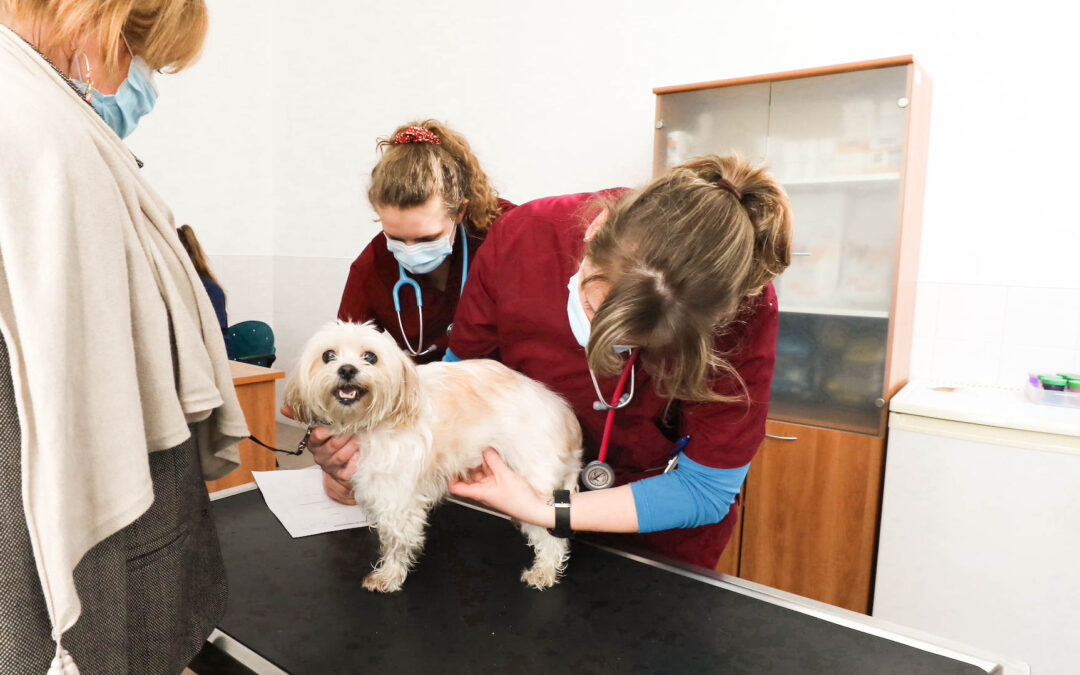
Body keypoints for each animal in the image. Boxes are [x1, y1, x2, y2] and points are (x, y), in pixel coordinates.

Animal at [282, 321, 578, 587]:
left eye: (370, 357)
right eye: (328, 356)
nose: (346, 369)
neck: (369, 421)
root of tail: (564, 415)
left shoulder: (396, 496)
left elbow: (397, 537)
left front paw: (389, 574)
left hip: (533, 484)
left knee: (551, 537)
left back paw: (544, 571)